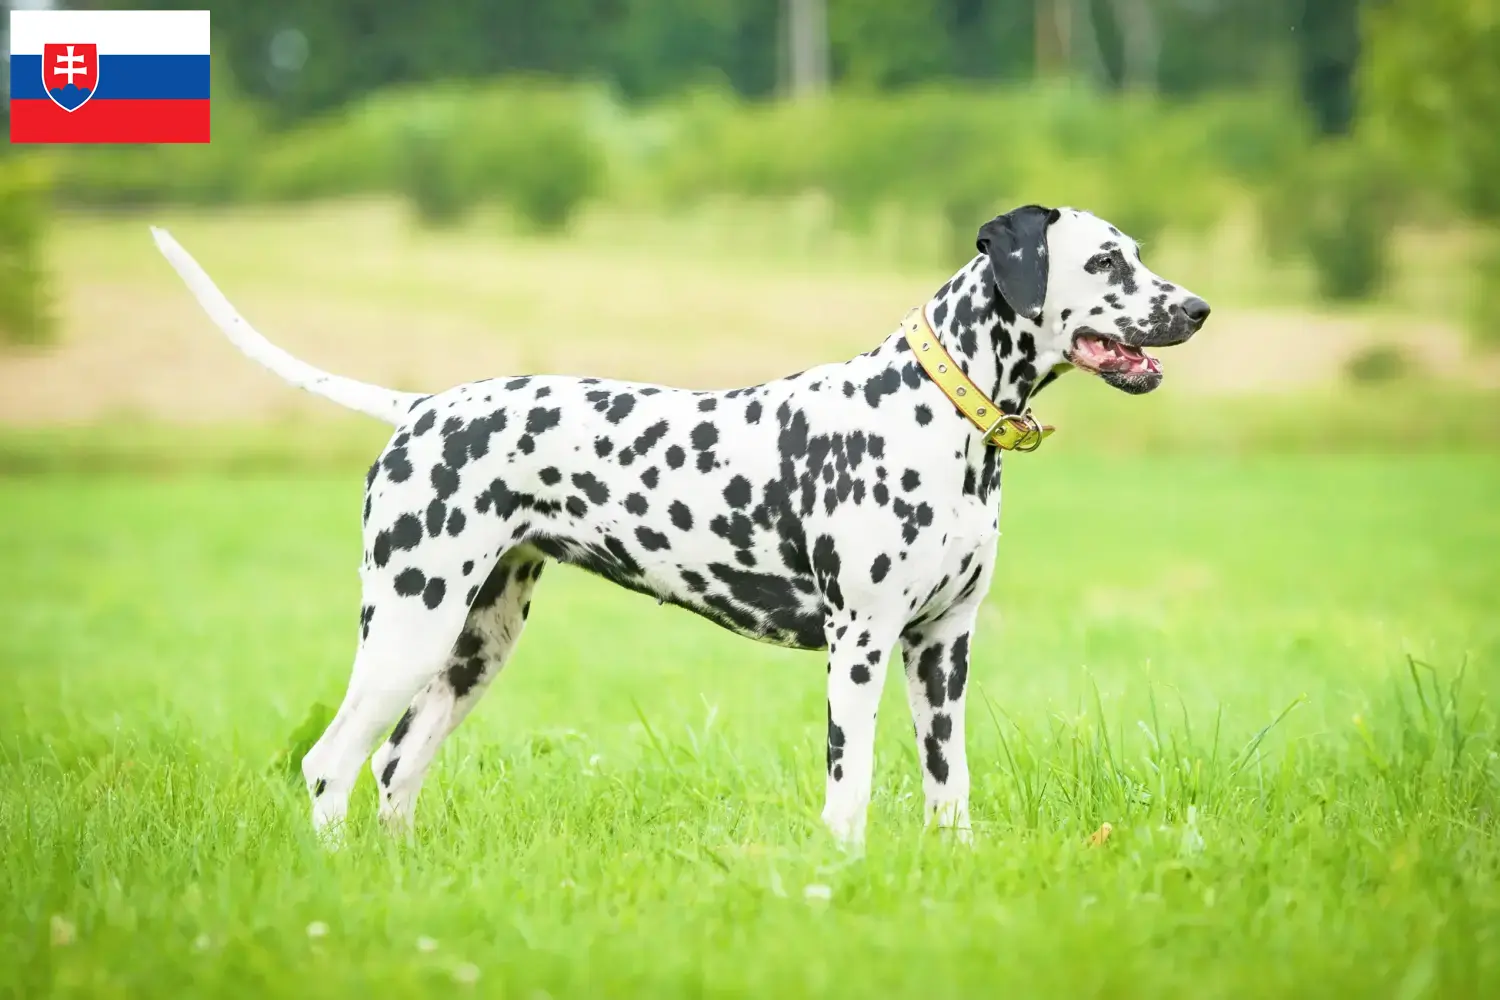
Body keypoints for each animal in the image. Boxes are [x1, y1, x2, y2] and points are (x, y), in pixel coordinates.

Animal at [152, 206, 1206, 851]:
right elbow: (852, 787)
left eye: (1137, 252)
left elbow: (950, 788)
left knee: (393, 769)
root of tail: (419, 410)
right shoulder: (860, 644)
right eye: (1107, 261)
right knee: (330, 766)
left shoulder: (942, 648)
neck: (937, 412)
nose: (1197, 307)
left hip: (470, 651)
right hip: (408, 632)